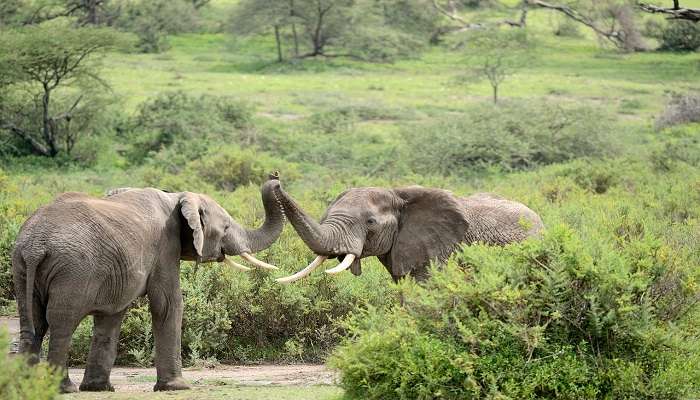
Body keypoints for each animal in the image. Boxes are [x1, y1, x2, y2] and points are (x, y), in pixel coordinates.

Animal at [11, 176, 284, 394]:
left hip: (22, 267)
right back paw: (64, 388)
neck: (177, 197)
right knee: (61, 324)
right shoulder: (165, 245)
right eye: (225, 226)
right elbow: (168, 304)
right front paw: (177, 387)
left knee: (32, 323)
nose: (276, 179)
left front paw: (99, 388)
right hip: (73, 271)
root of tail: (35, 245)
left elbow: (111, 316)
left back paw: (26, 386)